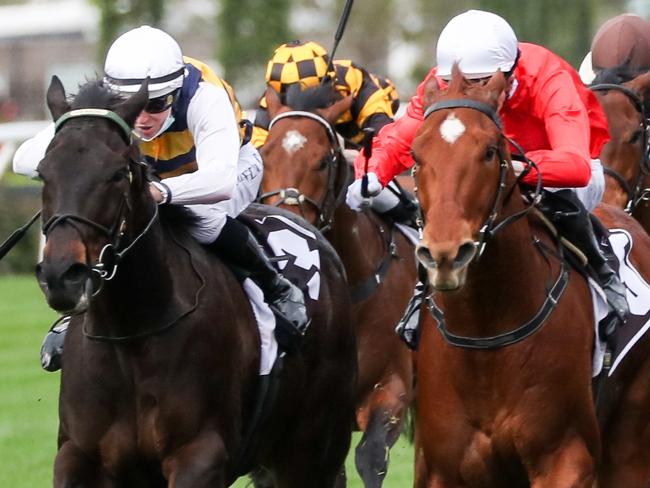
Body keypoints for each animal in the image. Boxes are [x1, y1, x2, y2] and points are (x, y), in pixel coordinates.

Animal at [38, 75, 356, 484]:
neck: (130, 336)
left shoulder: (199, 455)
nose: (63, 275)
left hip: (311, 451)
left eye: (118, 173)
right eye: (43, 171)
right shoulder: (77, 455)